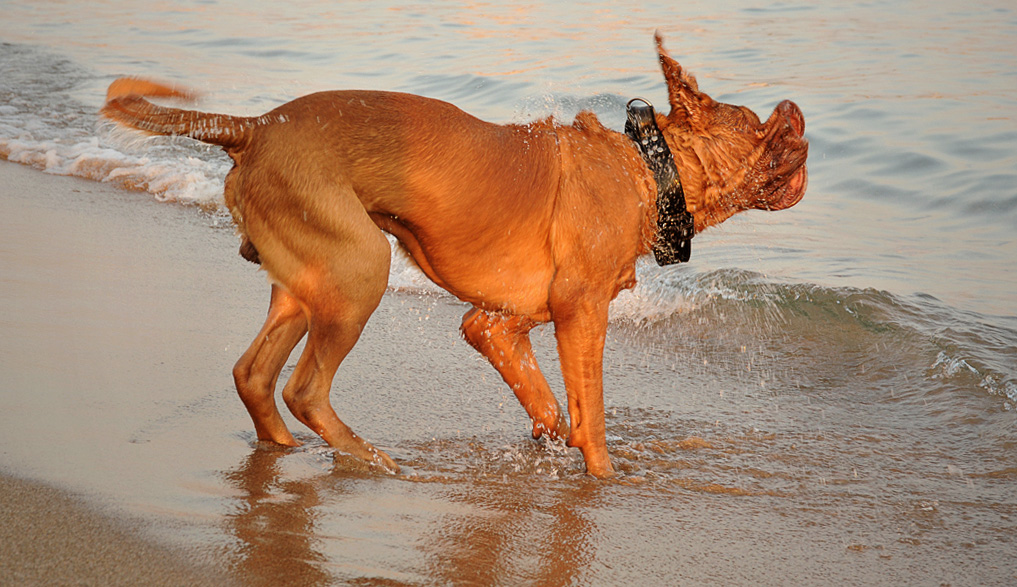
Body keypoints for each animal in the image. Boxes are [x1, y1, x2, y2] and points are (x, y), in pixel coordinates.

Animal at [99, 34, 805, 476]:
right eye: (753, 122)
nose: (796, 108)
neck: (645, 170)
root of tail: (255, 127)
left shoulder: (494, 323)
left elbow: (549, 404)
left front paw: (552, 443)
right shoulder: (582, 317)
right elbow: (592, 412)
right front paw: (603, 476)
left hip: (306, 283)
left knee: (253, 373)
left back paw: (283, 450)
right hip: (361, 270)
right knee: (305, 387)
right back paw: (367, 457)